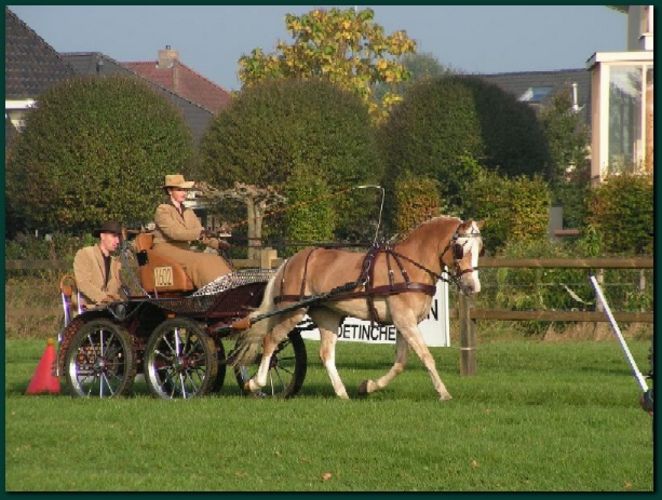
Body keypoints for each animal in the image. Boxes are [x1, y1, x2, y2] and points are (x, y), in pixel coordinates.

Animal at [233, 217, 488, 400]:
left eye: (481, 249)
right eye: (460, 248)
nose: (473, 286)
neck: (408, 267)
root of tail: (290, 261)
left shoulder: (402, 322)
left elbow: (400, 363)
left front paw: (368, 386)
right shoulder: (404, 320)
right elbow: (426, 356)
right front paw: (443, 393)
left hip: (327, 315)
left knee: (326, 353)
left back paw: (342, 393)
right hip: (292, 310)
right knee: (270, 341)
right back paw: (255, 383)